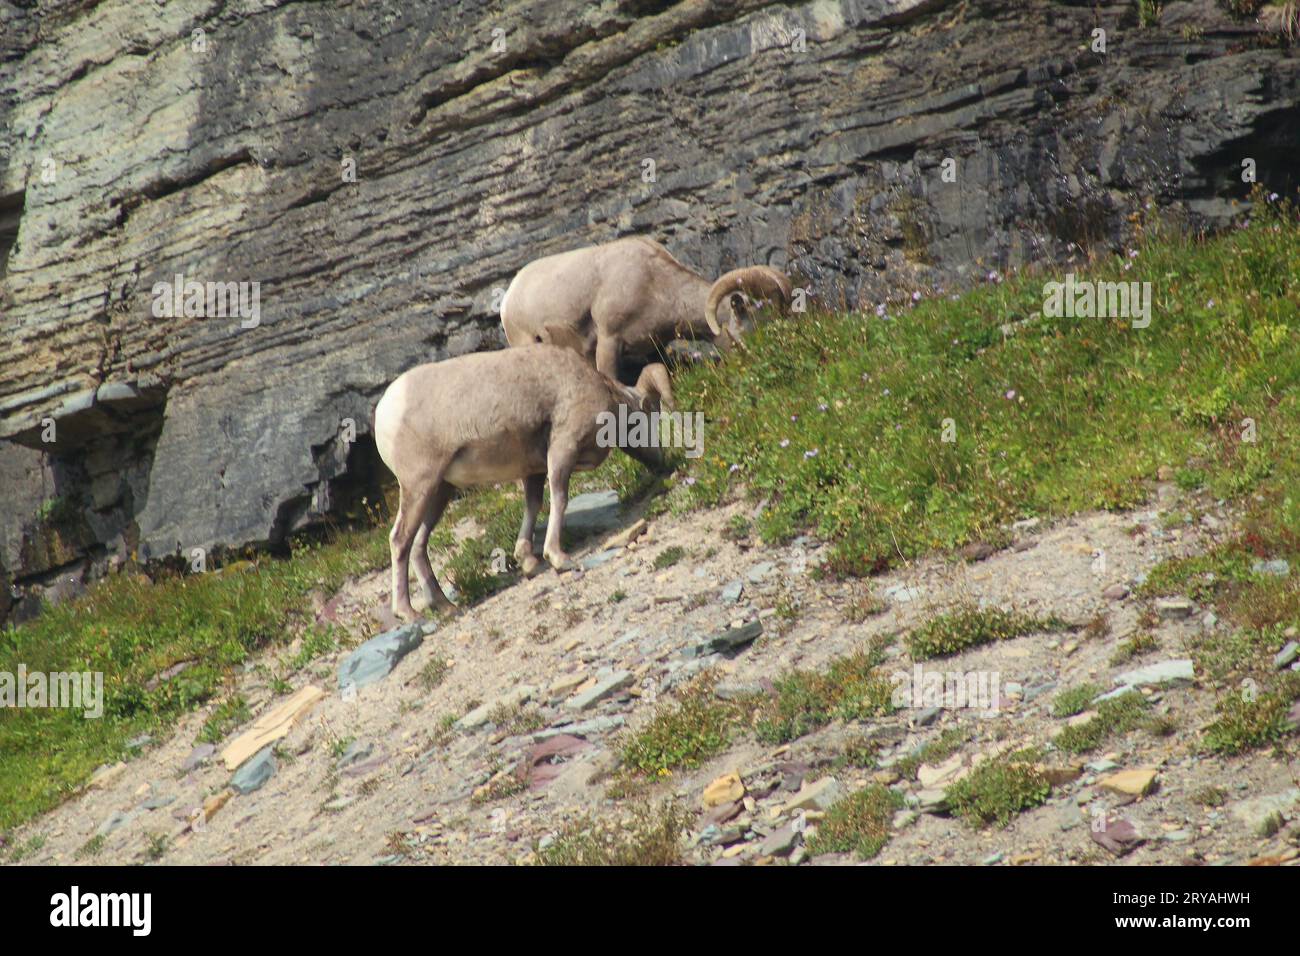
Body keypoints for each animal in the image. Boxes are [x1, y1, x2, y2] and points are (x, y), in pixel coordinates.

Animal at [371, 343, 665, 621]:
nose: (664, 462)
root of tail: (385, 412)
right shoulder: (562, 448)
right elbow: (559, 498)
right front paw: (558, 559)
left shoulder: (534, 469)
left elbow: (533, 505)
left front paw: (528, 562)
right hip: (419, 486)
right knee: (400, 540)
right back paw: (408, 613)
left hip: (440, 491)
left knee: (418, 545)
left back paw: (446, 606)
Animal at [496, 238, 790, 390]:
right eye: (752, 327)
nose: (765, 358)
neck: (654, 283)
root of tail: (508, 299)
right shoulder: (609, 340)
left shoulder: (653, 349)